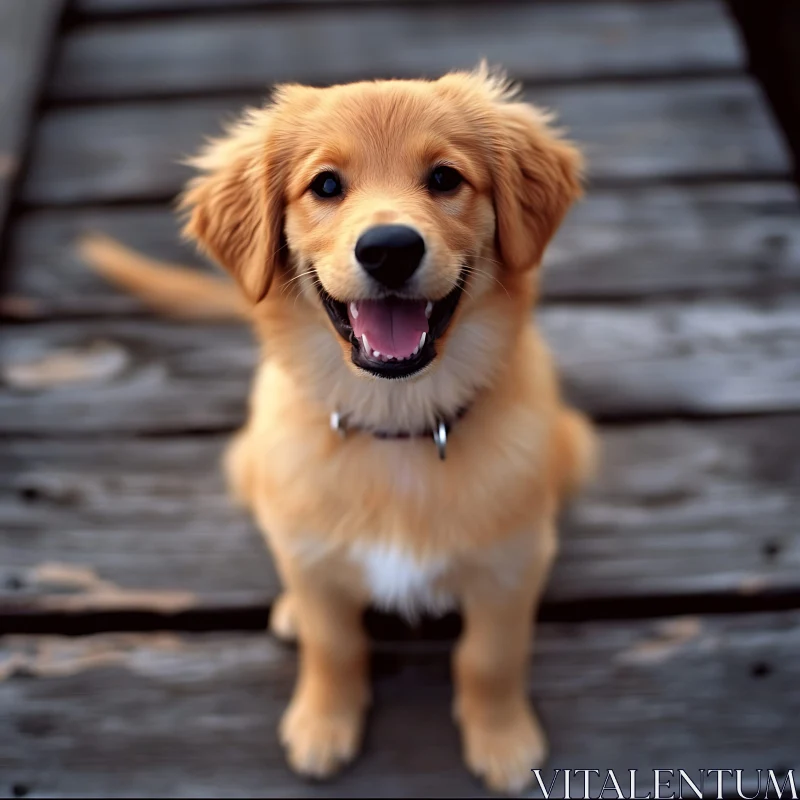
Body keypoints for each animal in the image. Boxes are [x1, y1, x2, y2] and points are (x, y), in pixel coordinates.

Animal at [81, 64, 596, 792]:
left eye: (445, 178)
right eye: (325, 185)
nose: (389, 249)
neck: (397, 424)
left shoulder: (509, 566)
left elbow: (489, 657)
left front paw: (502, 739)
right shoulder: (312, 555)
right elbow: (335, 644)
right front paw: (323, 724)